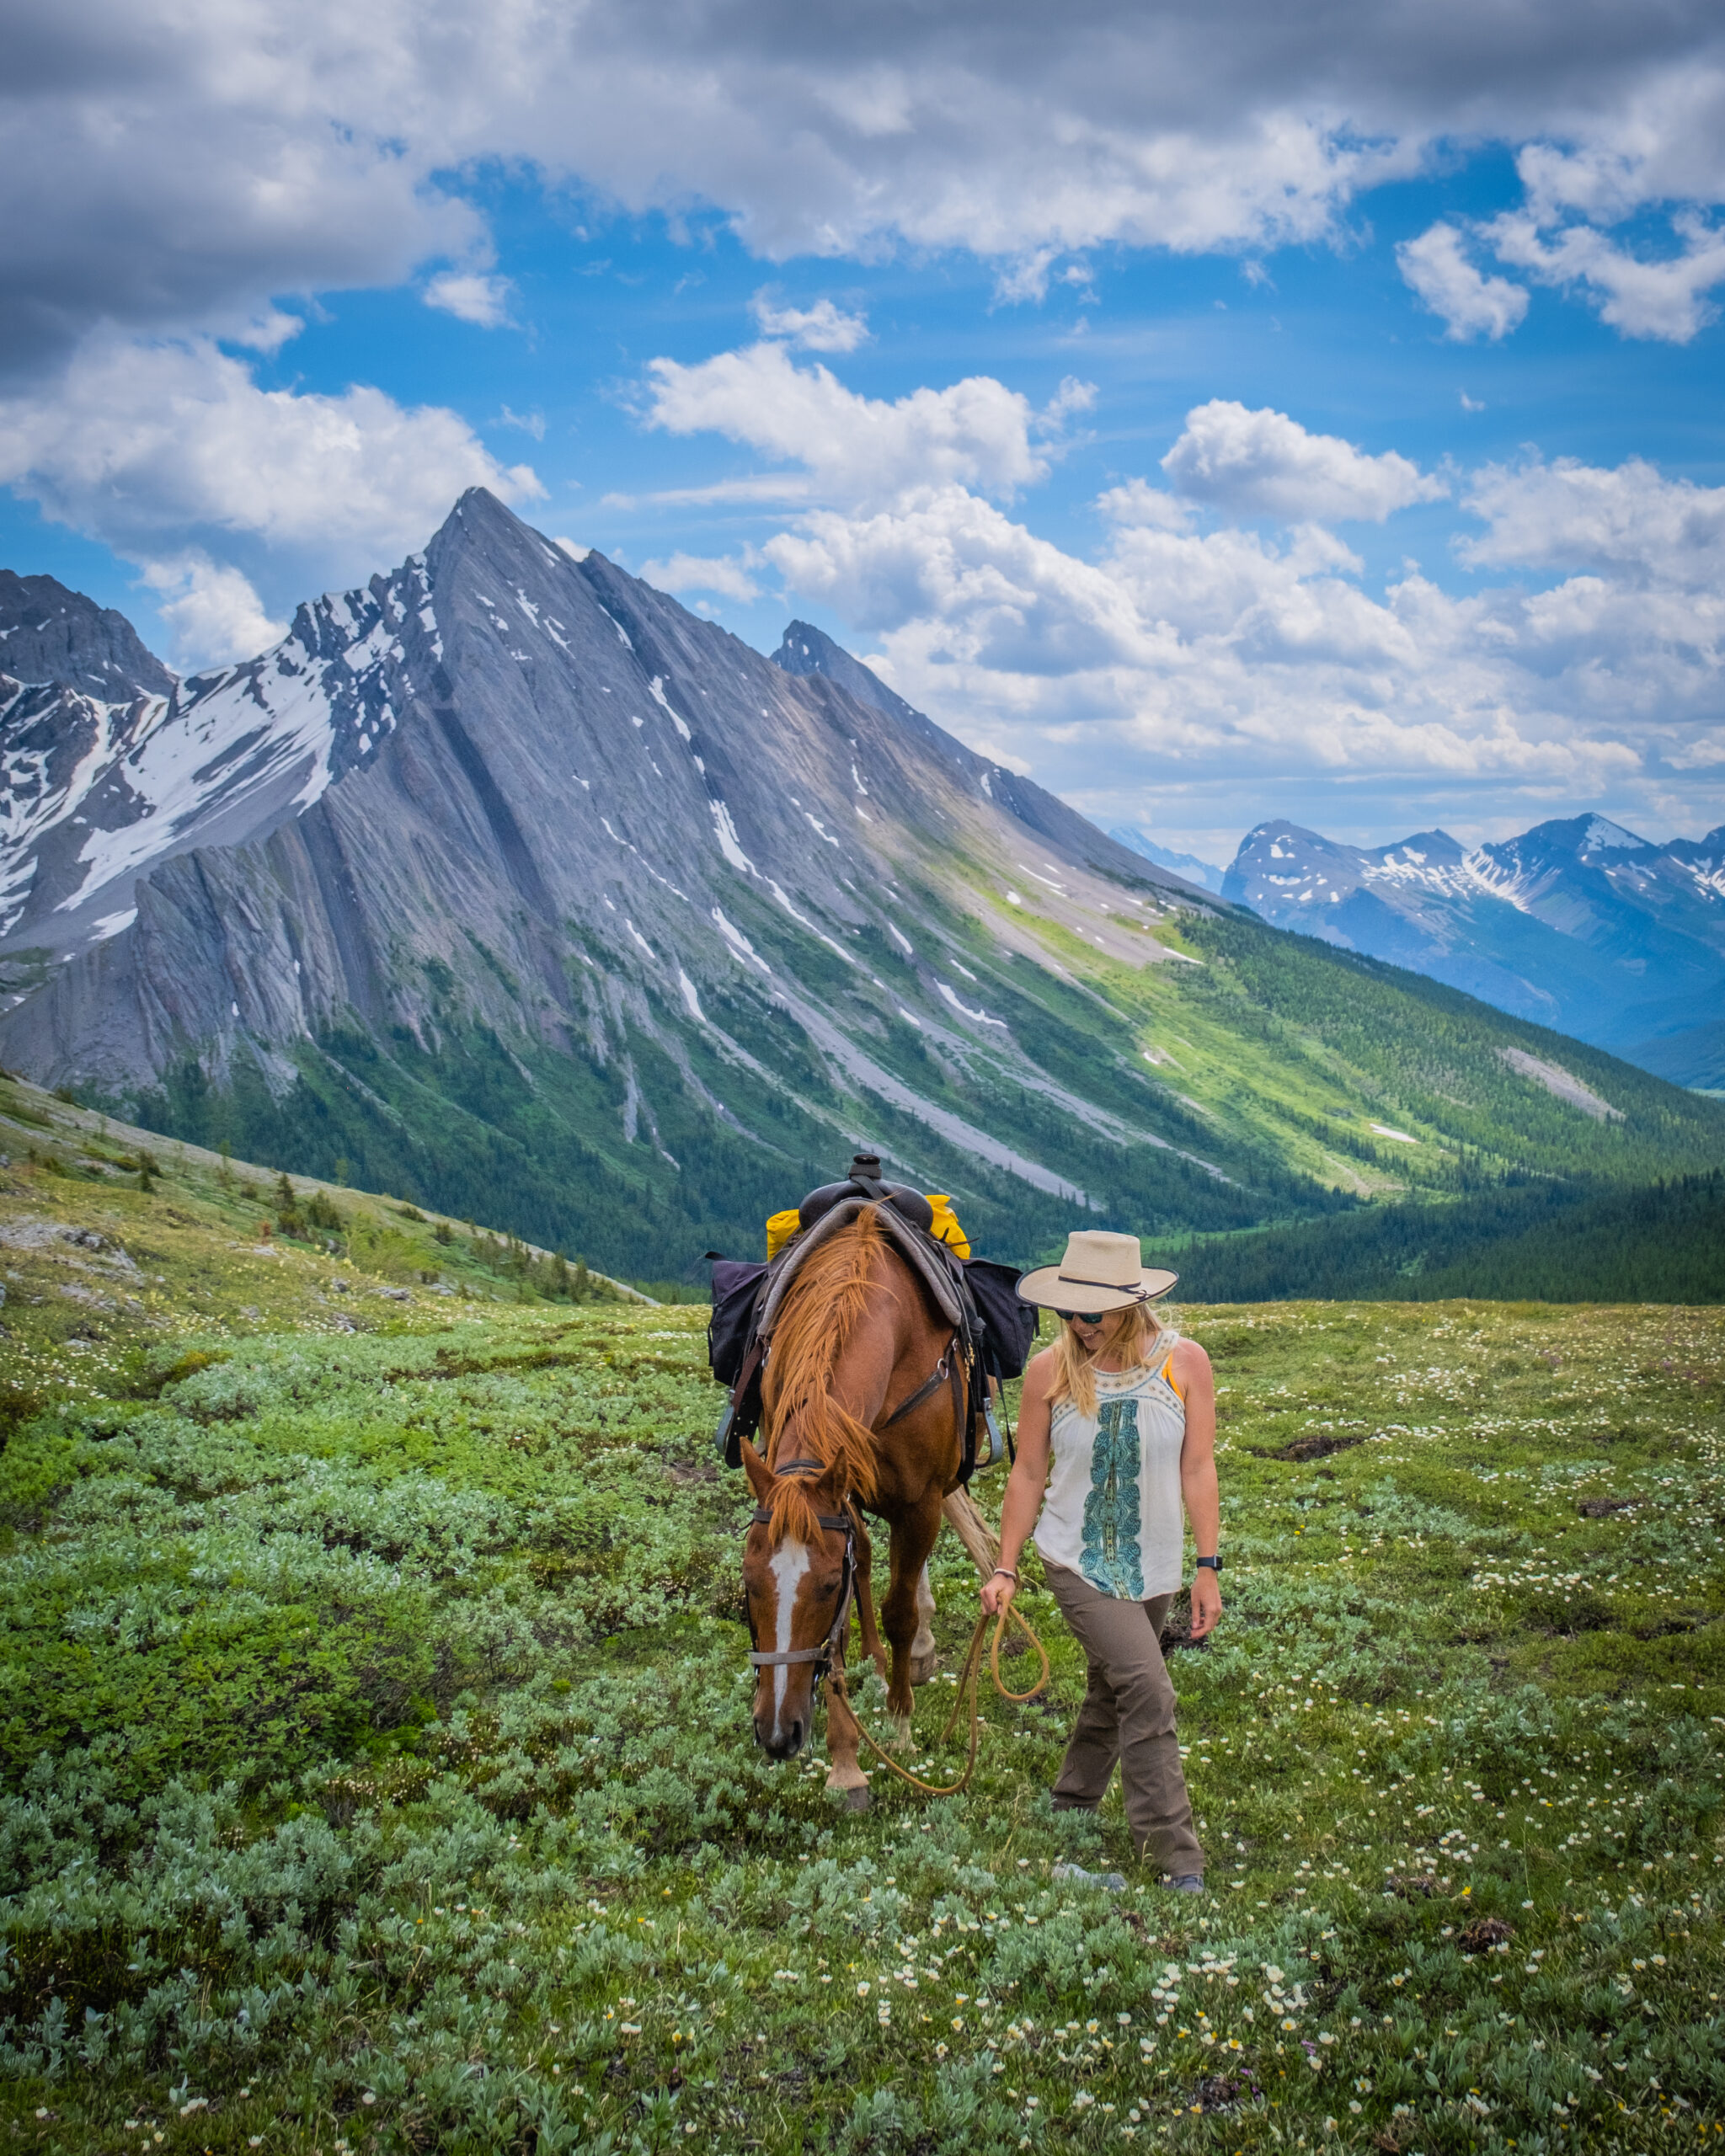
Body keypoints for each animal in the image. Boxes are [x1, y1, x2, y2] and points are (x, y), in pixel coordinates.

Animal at [733, 1215, 991, 1802]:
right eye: (748, 1581)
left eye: (828, 1585)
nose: (777, 1735)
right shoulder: (840, 1493)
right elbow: (846, 1623)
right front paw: (845, 1762)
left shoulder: (920, 1503)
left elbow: (899, 1610)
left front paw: (900, 1723)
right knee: (875, 1558)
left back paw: (915, 1653)